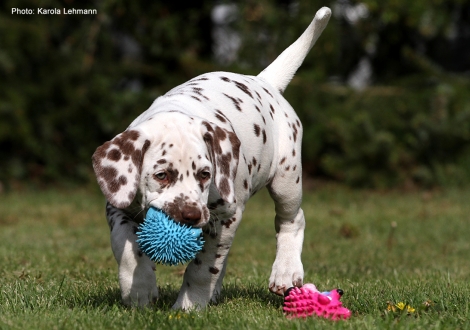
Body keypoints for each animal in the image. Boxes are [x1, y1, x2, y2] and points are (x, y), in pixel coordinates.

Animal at [92, 6, 330, 310]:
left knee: (292, 219)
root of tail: (263, 81)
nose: (191, 215)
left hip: (286, 178)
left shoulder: (225, 216)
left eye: (205, 174)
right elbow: (126, 245)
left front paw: (189, 305)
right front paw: (140, 290)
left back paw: (285, 271)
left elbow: (203, 267)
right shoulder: (118, 205)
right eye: (161, 175)